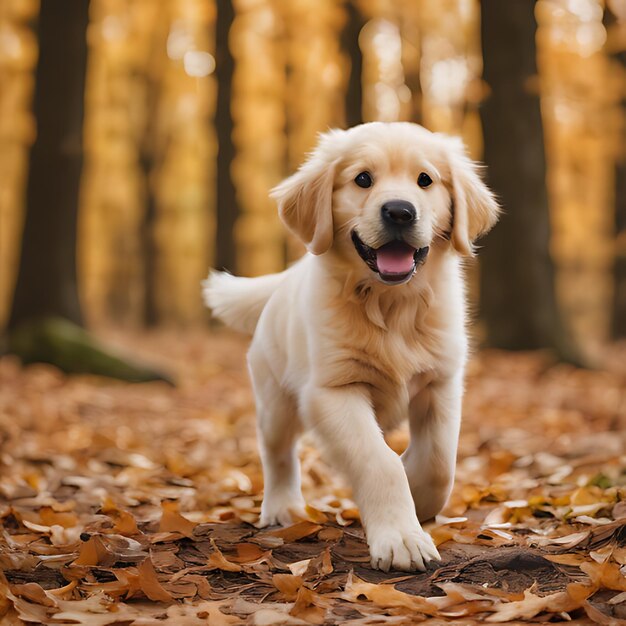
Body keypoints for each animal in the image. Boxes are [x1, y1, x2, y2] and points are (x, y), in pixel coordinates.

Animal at [204, 122, 498, 572]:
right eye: (362, 179)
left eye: (425, 180)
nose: (400, 211)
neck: (391, 305)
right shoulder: (332, 391)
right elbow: (379, 461)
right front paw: (401, 537)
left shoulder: (441, 381)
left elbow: (439, 461)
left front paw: (419, 495)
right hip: (275, 397)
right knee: (277, 452)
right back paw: (282, 507)